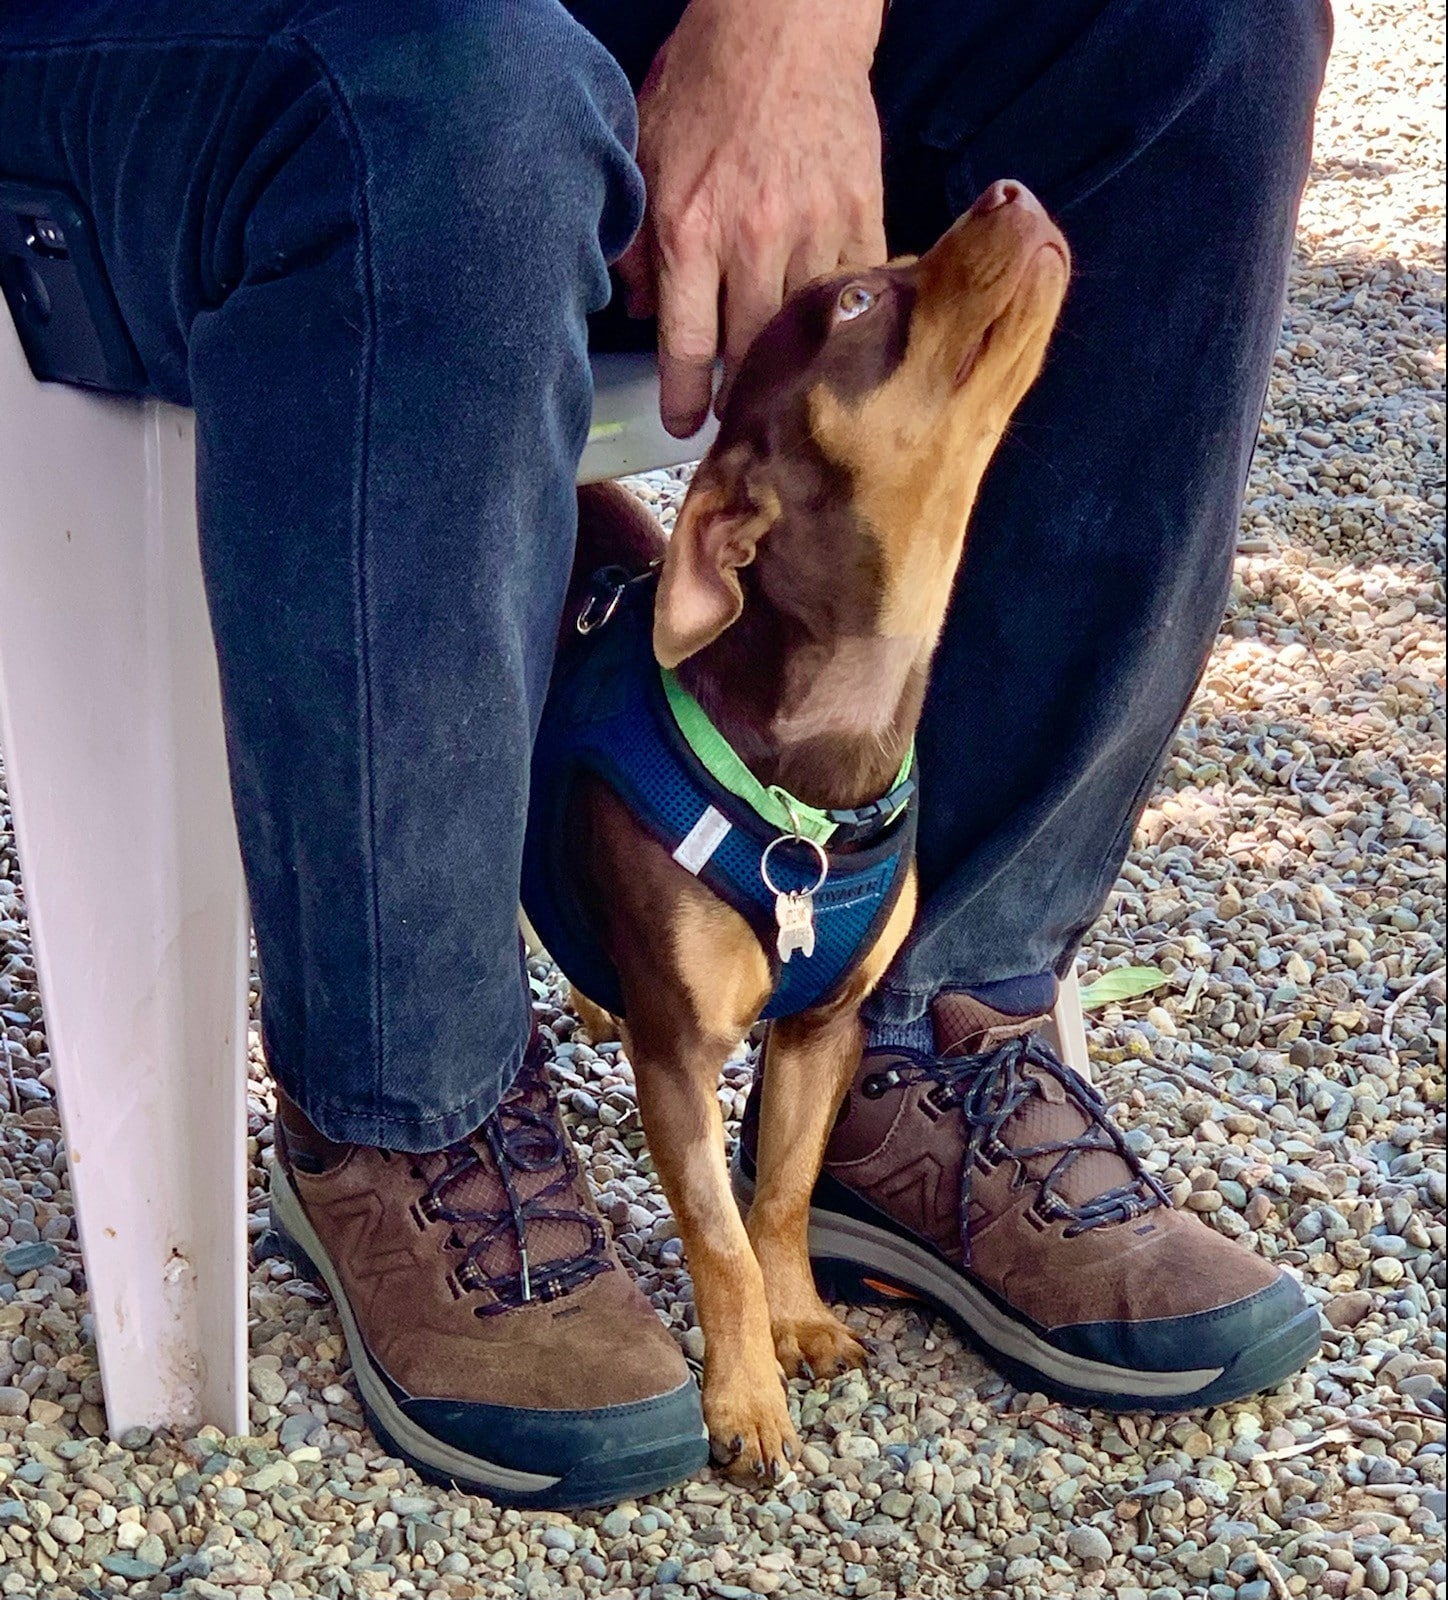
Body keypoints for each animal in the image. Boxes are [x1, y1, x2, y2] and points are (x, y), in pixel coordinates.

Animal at [560, 181, 1068, 1478]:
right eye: (853, 302)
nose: (1009, 190)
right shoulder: (679, 1057)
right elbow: (719, 1237)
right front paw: (741, 1398)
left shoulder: (821, 1030)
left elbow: (781, 1197)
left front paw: (797, 1323)